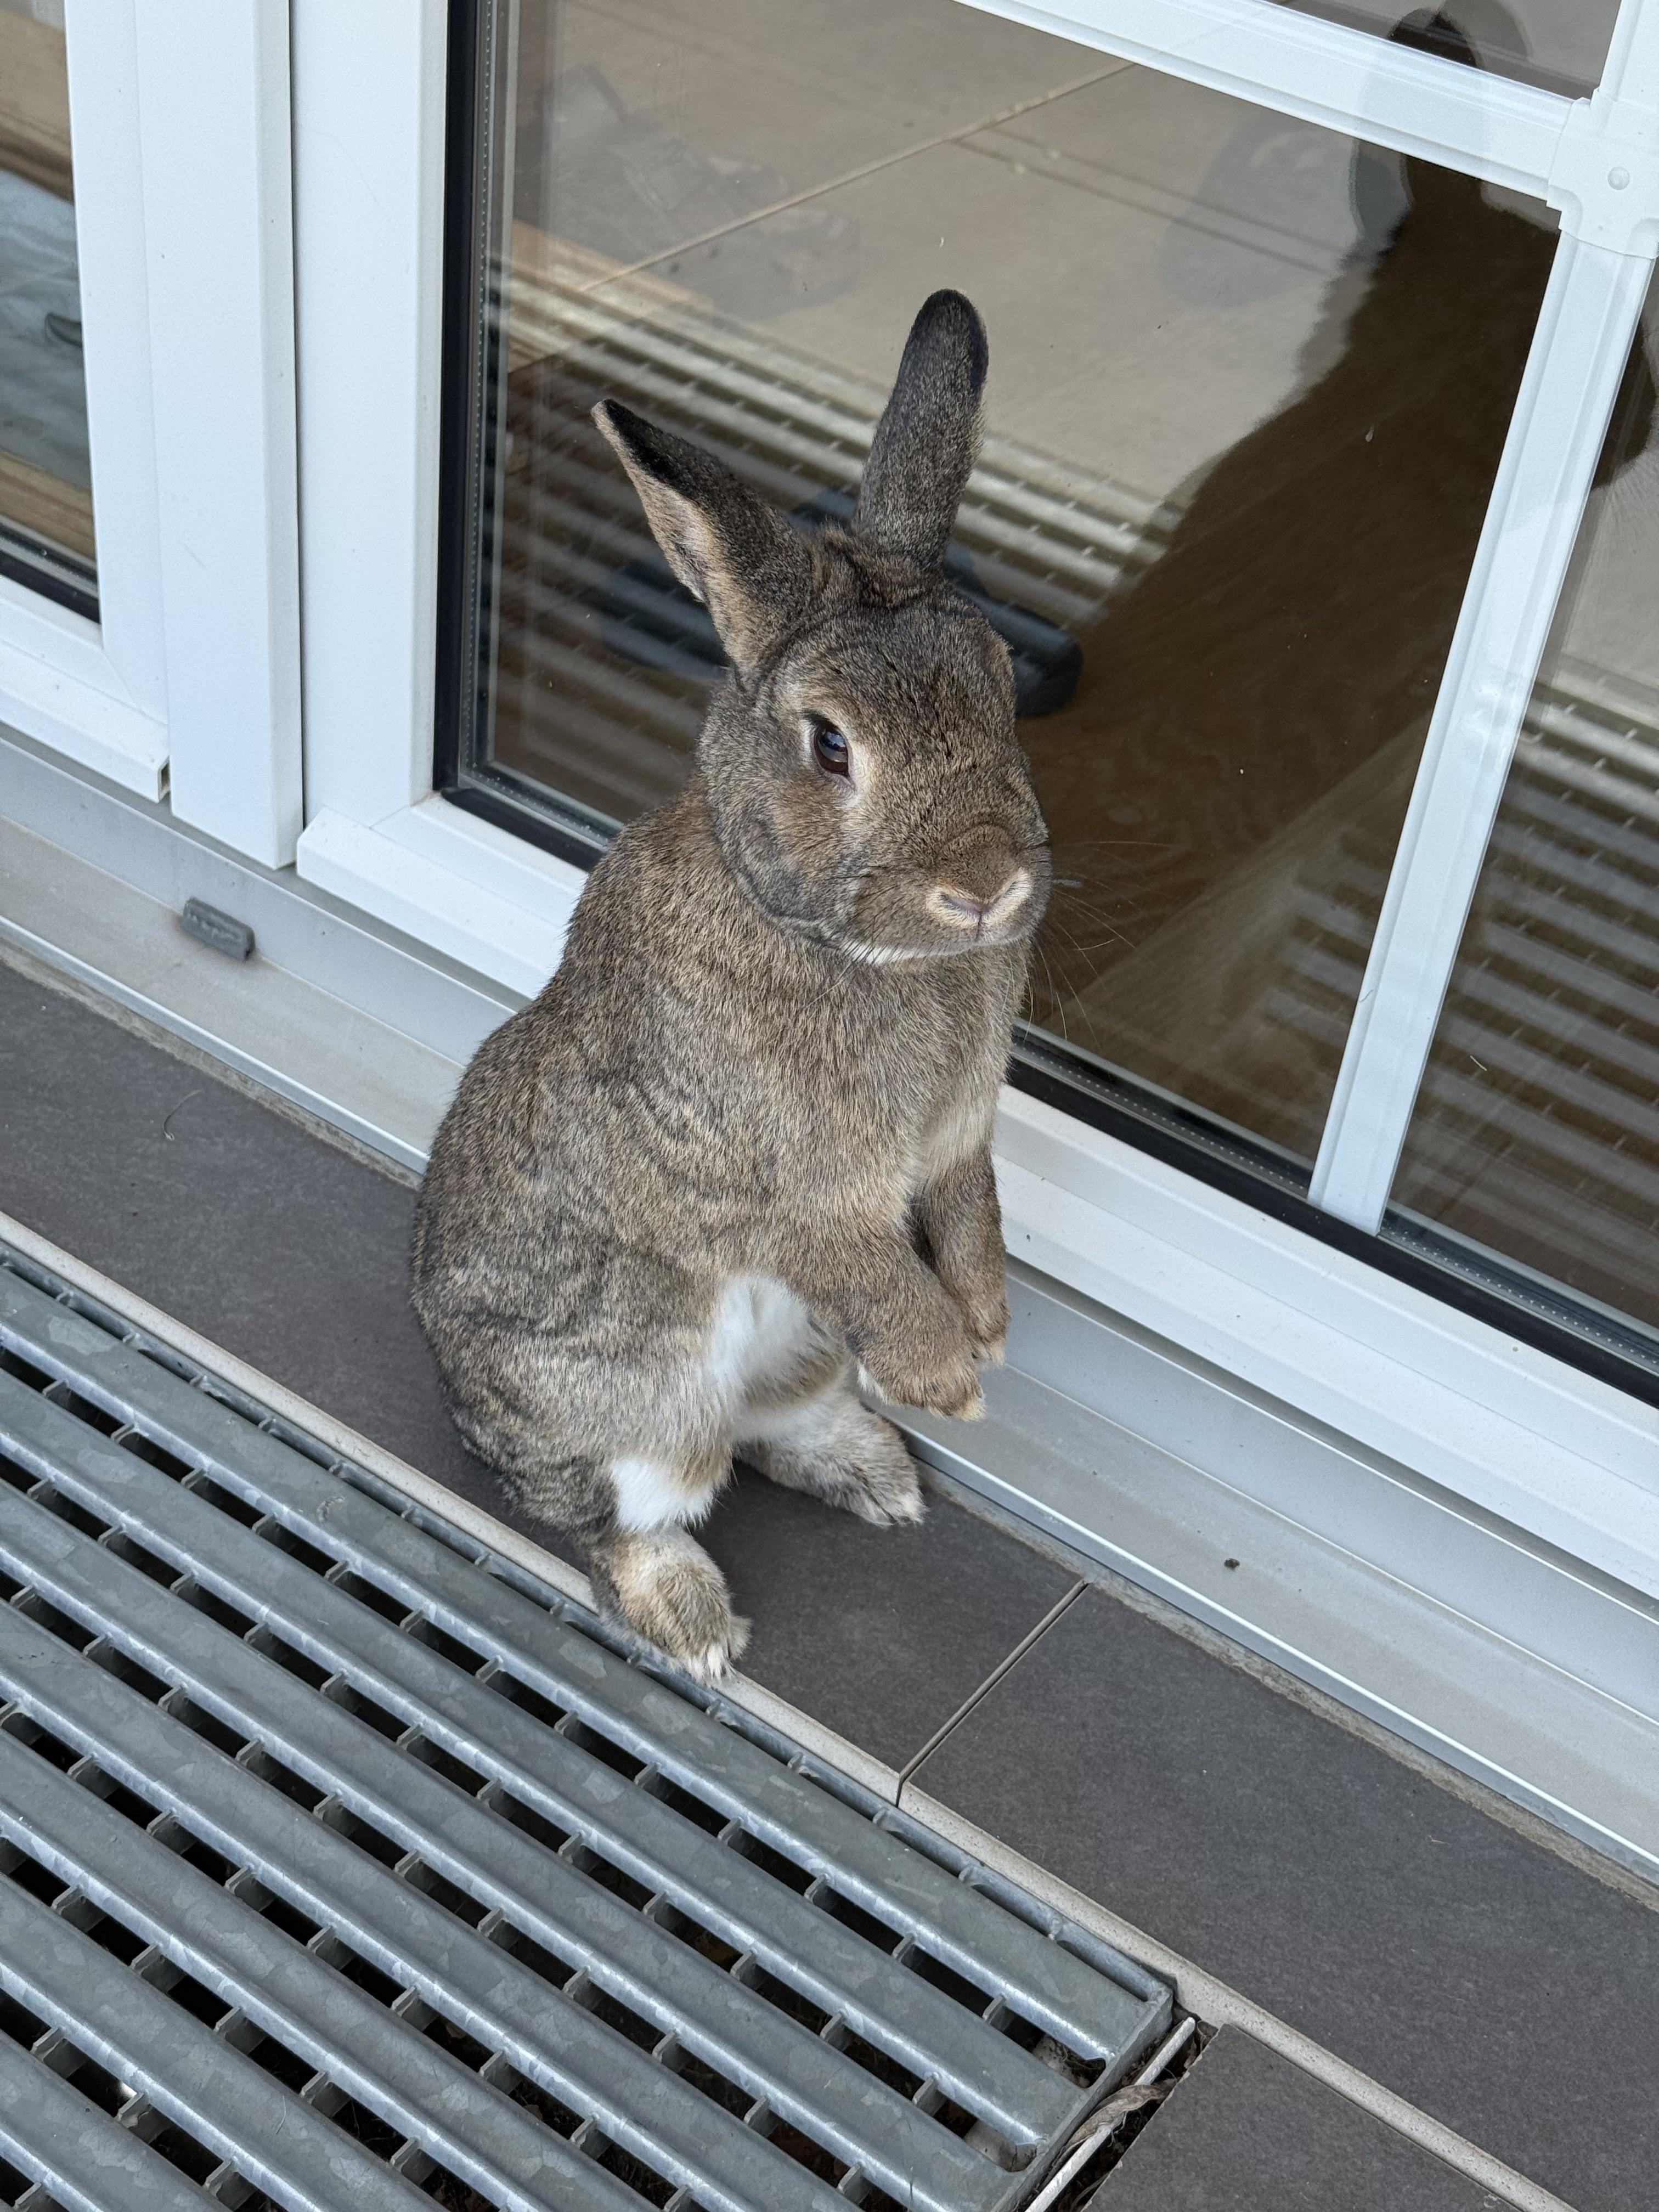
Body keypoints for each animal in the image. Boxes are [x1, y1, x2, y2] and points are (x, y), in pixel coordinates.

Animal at [411, 291, 1051, 1680]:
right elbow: (882, 1276)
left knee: (770, 1432)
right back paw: (693, 1623)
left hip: (795, 1350)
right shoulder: (802, 1205)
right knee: (613, 1511)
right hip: (632, 1398)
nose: (983, 885)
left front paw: (988, 1329)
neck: (828, 937)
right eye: (831, 746)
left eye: (1001, 681)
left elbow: (971, 1220)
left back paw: (877, 1476)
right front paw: (951, 1380)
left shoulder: (955, 1151)